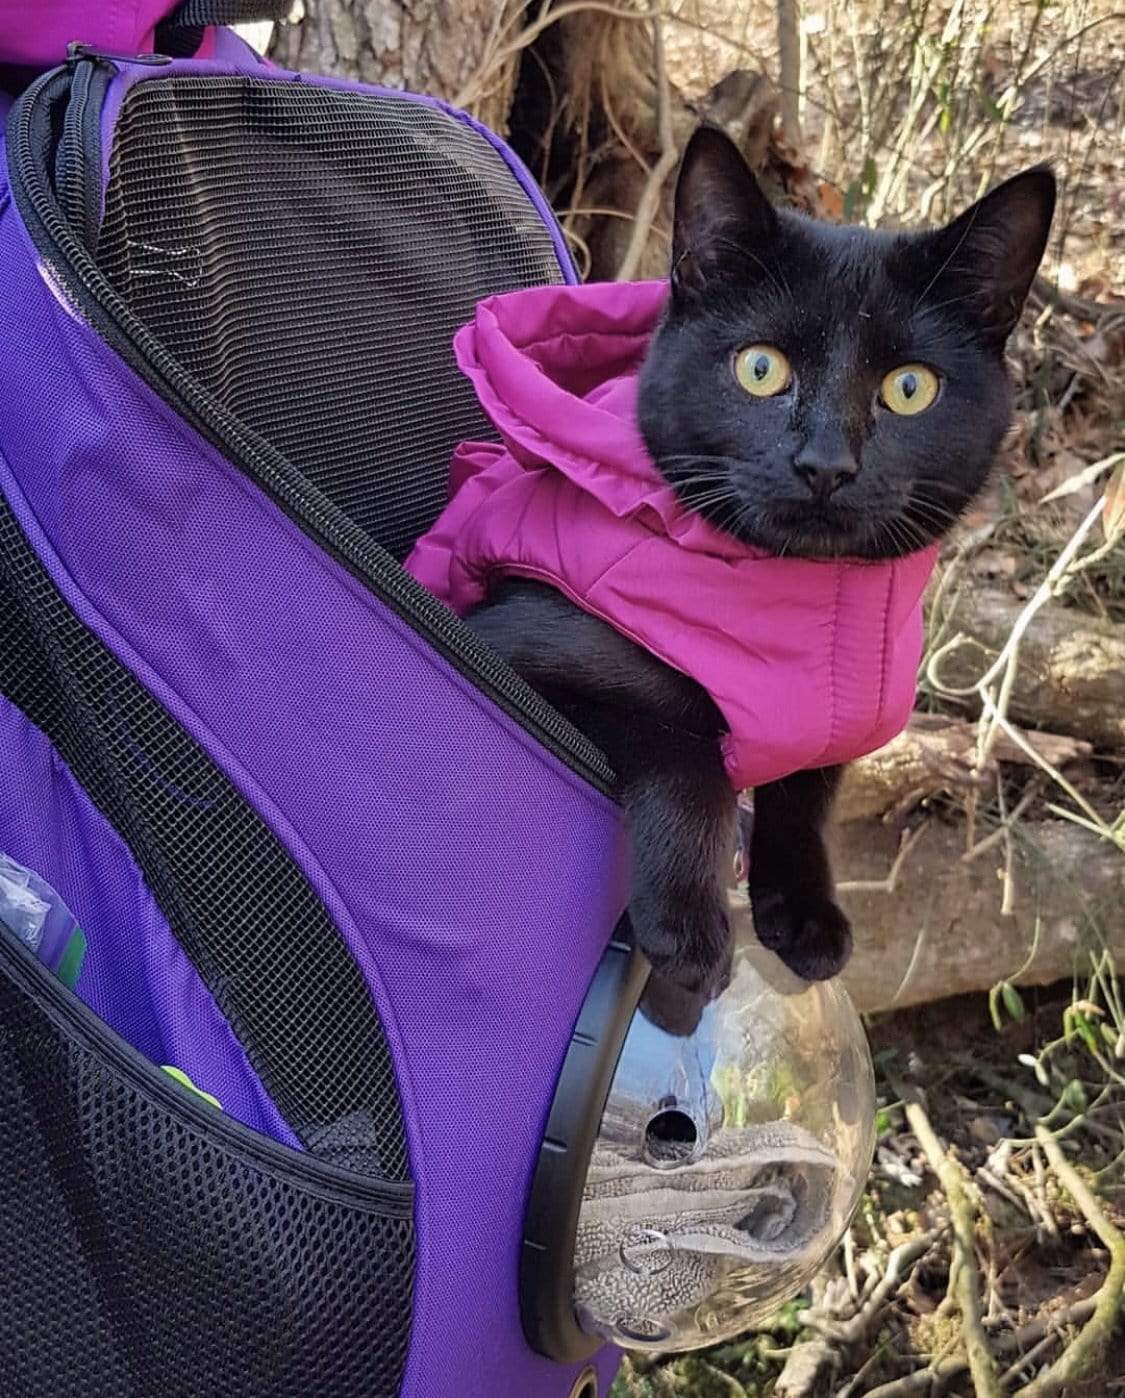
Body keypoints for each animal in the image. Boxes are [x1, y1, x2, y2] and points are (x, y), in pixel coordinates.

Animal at [463, 128, 1050, 1028]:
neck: (810, 607)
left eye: (908, 387)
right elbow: (685, 747)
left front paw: (804, 910)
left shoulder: (830, 726)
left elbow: (804, 794)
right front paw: (689, 930)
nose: (824, 465)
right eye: (760, 370)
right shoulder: (506, 653)